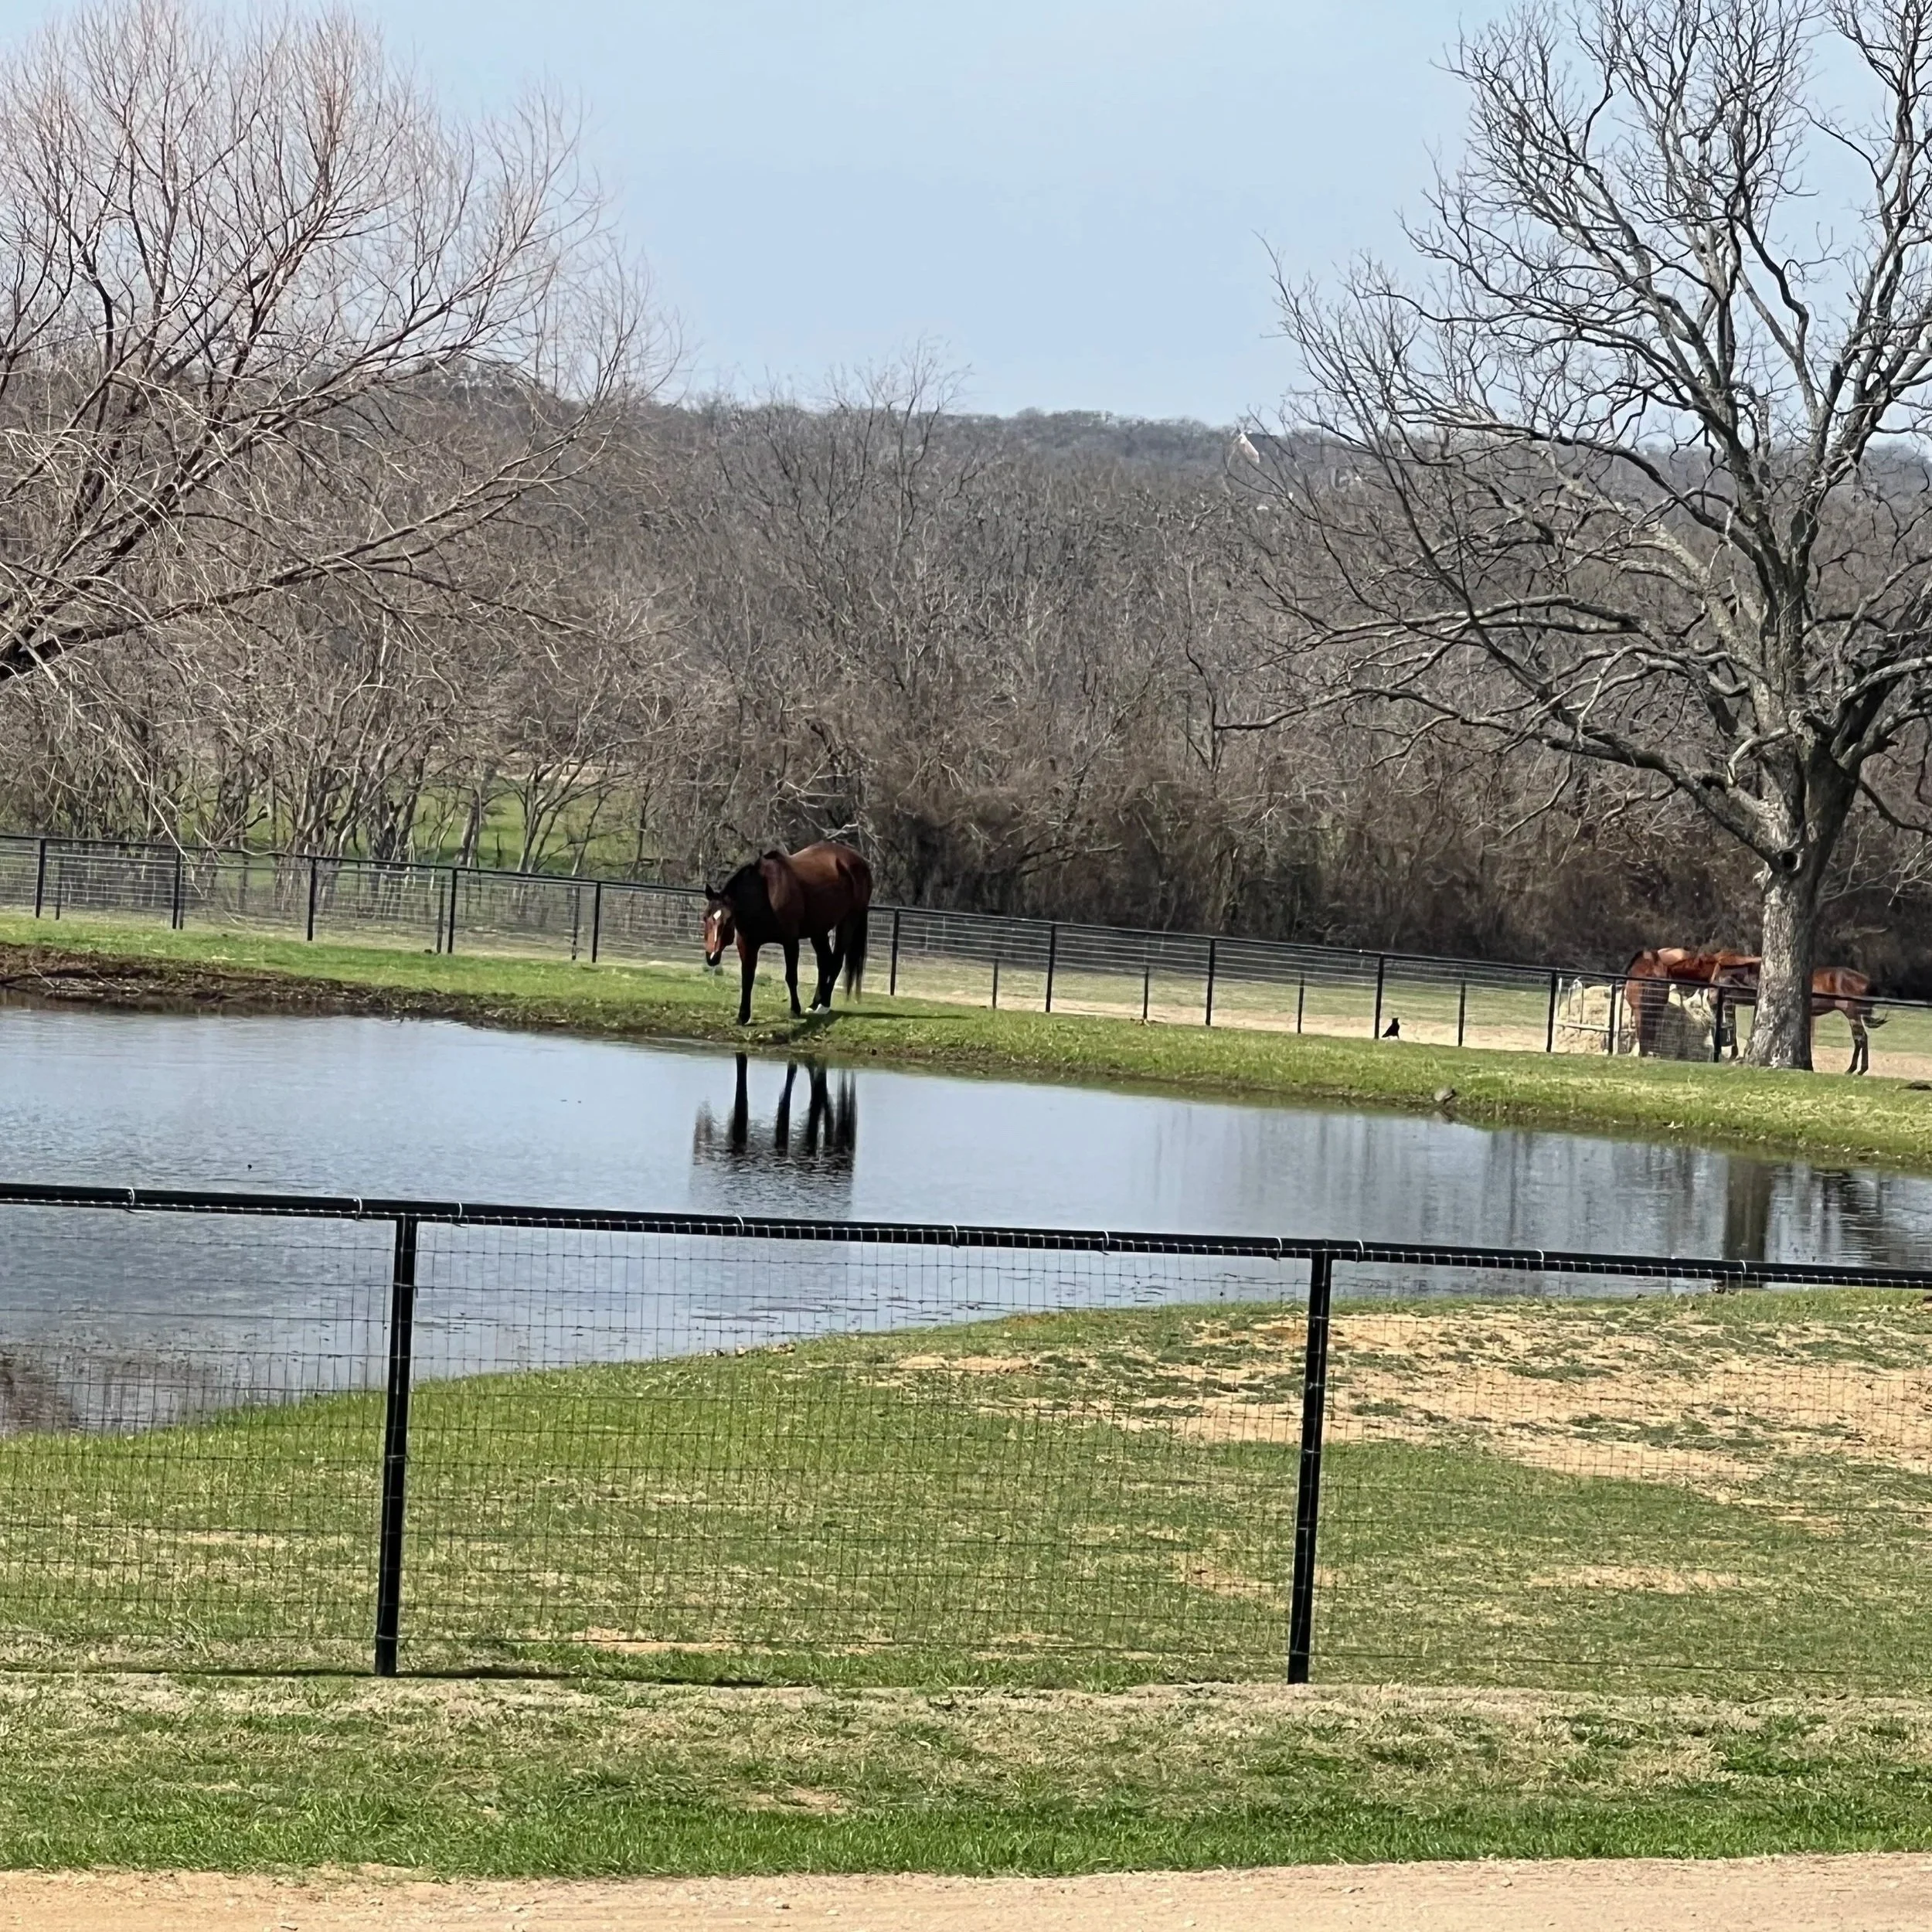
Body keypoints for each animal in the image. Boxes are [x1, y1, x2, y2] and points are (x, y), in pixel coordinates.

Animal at [702, 841, 872, 1026]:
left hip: (848, 922)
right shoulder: (747, 944)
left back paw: (824, 1005)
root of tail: (859, 860)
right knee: (824, 962)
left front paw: (794, 1010)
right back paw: (815, 1004)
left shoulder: (790, 942)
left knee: (835, 963)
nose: (712, 957)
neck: (765, 895)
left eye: (729, 920)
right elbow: (747, 978)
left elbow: (791, 977)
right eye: (705, 918)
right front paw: (743, 1016)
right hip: (818, 930)